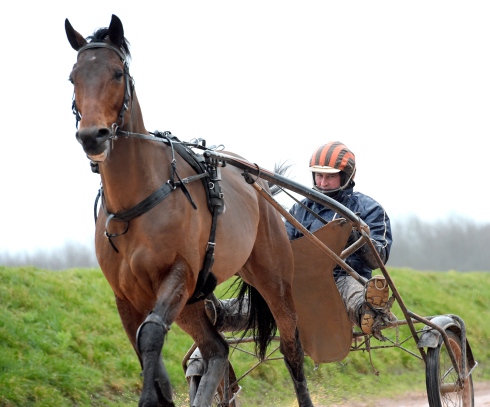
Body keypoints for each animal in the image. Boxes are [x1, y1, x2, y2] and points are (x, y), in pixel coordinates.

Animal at [65, 14, 314, 406]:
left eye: (117, 73)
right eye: (73, 77)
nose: (93, 135)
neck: (135, 201)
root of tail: (257, 186)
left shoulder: (178, 273)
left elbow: (151, 334)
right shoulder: (125, 297)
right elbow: (143, 346)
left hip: (273, 277)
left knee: (291, 346)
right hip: (194, 302)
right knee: (216, 349)